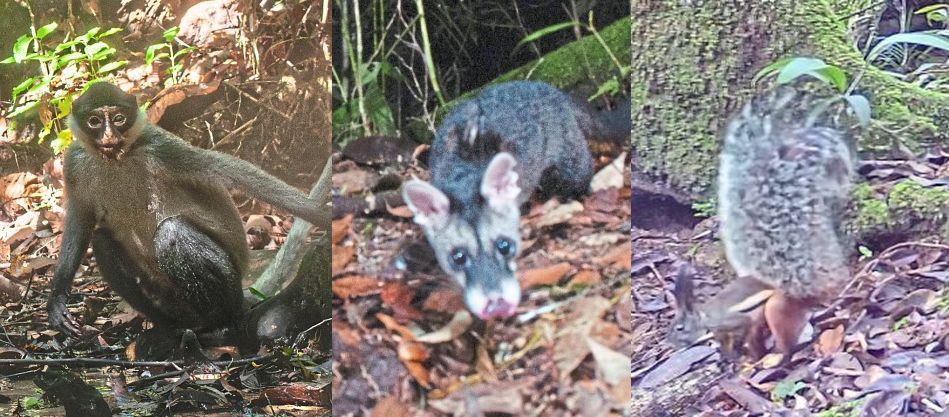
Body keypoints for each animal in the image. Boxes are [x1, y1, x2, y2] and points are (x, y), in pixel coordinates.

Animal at [669, 87, 856, 360]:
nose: (671, 343)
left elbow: (742, 328)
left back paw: (774, 357)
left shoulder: (734, 320)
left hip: (777, 308)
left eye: (681, 327)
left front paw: (736, 356)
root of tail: (805, 290)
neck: (706, 317)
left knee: (782, 338)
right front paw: (726, 356)